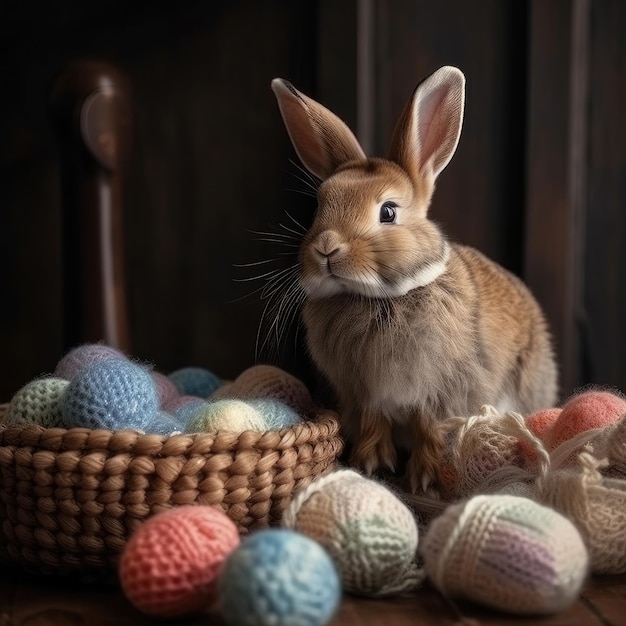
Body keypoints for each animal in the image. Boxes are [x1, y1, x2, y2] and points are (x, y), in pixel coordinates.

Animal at [268, 64, 556, 492]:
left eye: (388, 212)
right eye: (319, 206)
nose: (326, 248)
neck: (377, 297)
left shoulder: (437, 394)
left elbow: (428, 429)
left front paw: (423, 479)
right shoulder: (366, 395)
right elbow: (375, 423)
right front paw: (369, 463)